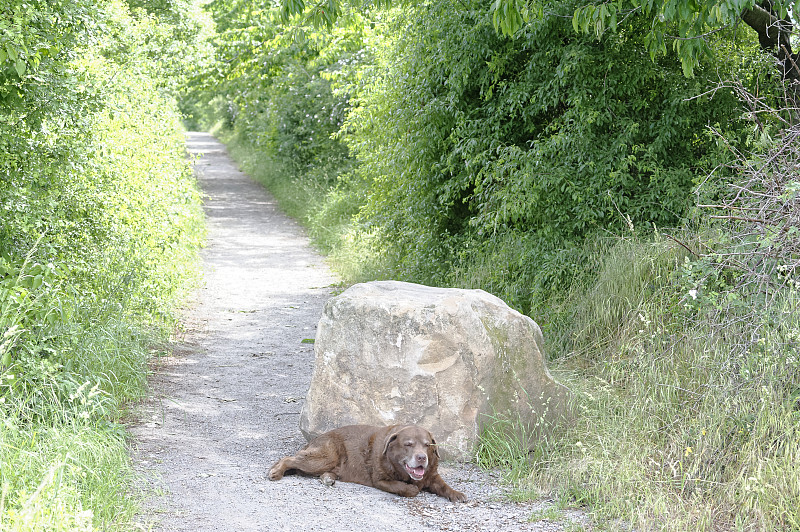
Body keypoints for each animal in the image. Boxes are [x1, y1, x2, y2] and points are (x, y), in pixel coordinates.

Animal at [268, 424, 468, 502]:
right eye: (408, 444)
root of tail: (315, 439)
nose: (422, 458)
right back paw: (275, 472)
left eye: (427, 445)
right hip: (324, 457)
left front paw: (457, 494)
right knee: (289, 458)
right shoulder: (380, 480)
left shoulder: (432, 475)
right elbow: (405, 488)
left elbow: (443, 486)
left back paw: (328, 479)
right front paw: (412, 488)